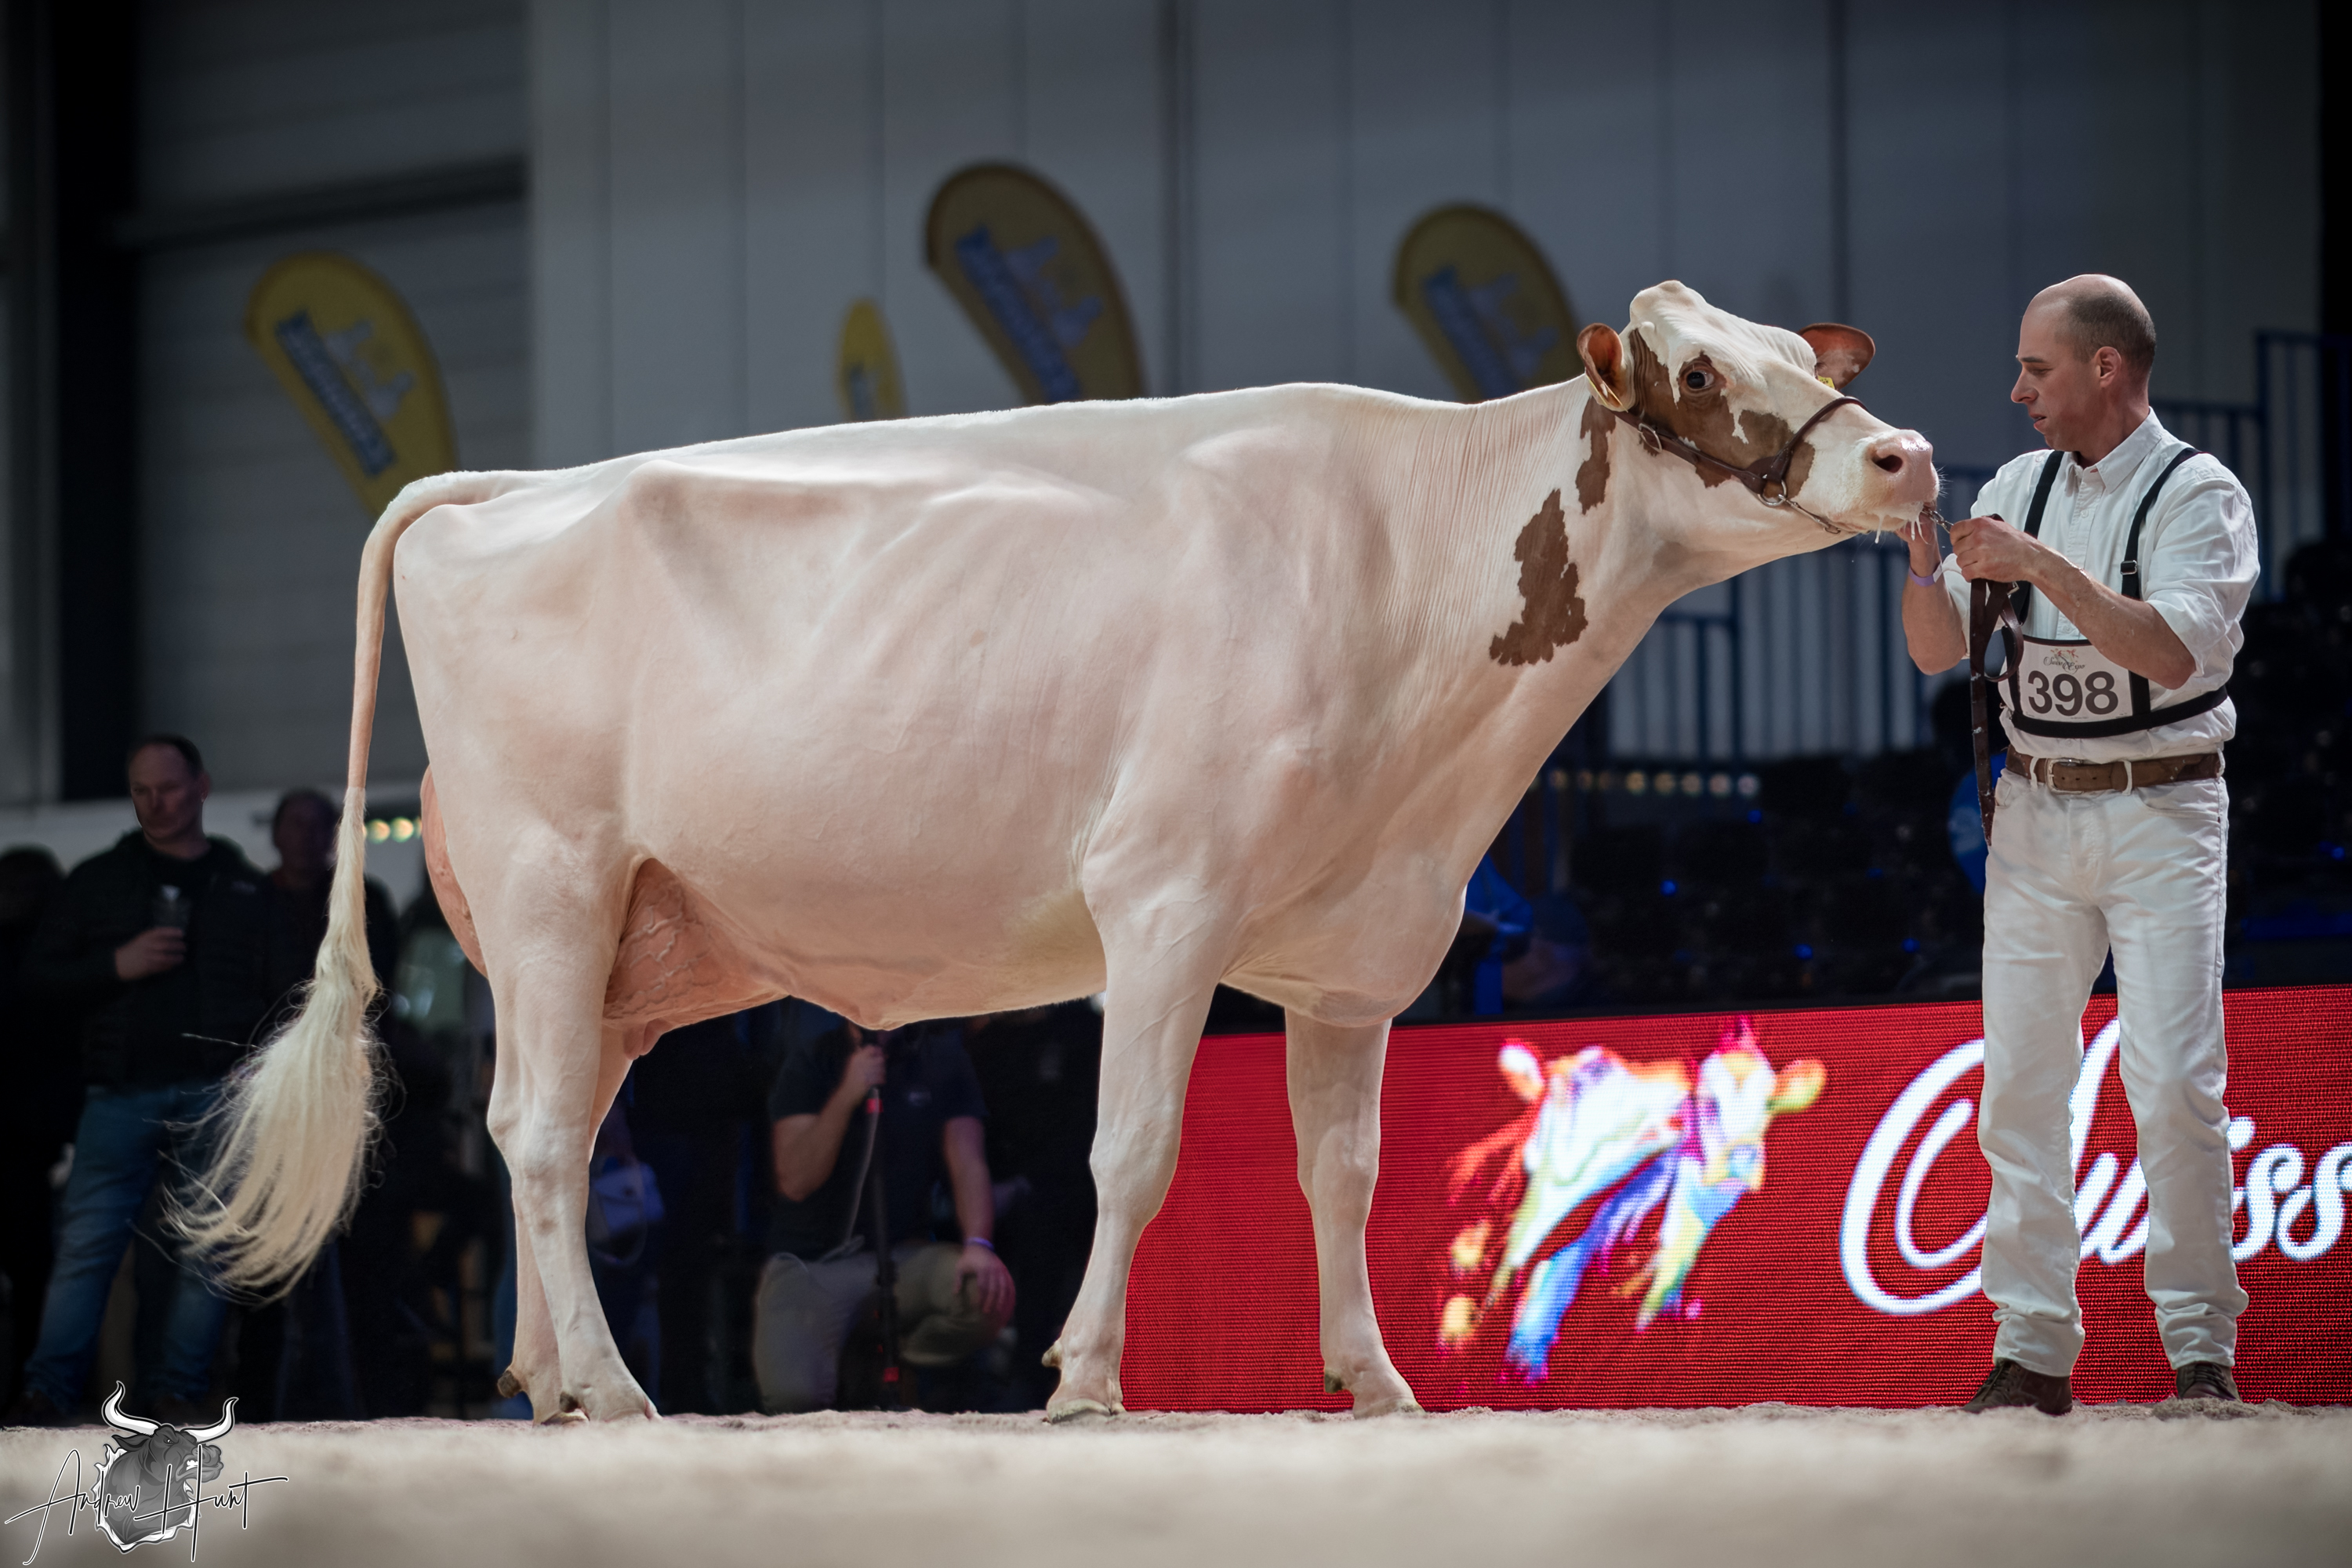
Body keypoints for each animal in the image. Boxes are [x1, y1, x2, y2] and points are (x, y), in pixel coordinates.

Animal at [178, 280, 1935, 1422]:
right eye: (1696, 377)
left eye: (1799, 353)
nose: (1905, 456)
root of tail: (505, 491)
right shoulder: (1164, 898)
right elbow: (1133, 1149)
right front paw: (1086, 1378)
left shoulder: (1358, 952)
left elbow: (1347, 1172)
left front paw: (1372, 1379)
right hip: (555, 881)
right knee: (544, 1144)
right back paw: (612, 1389)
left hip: (623, 947)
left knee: (528, 1121)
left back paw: (546, 1379)